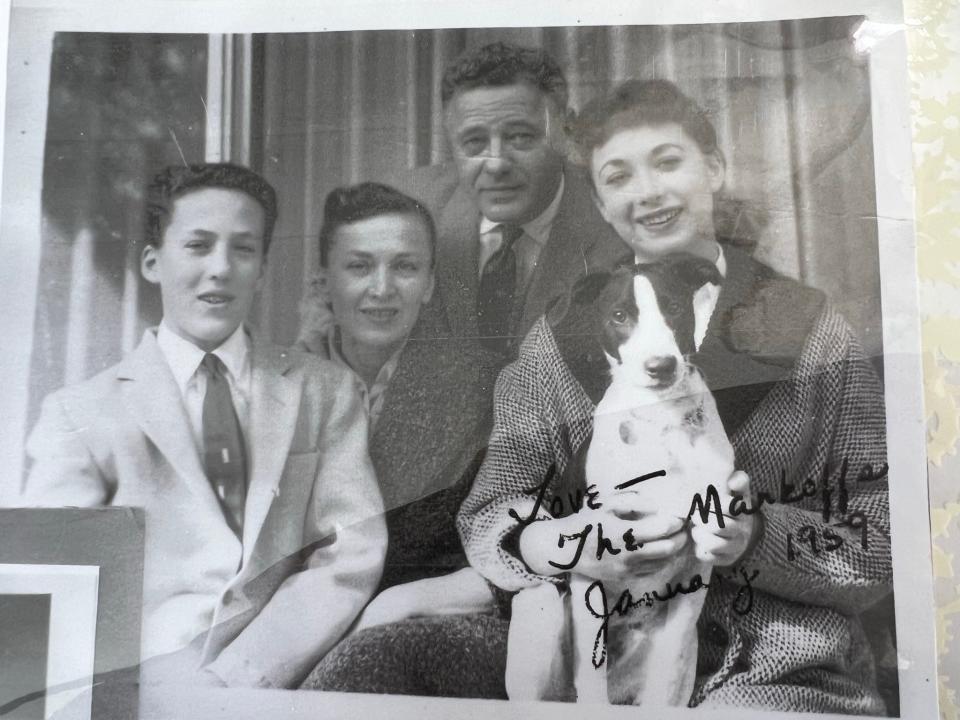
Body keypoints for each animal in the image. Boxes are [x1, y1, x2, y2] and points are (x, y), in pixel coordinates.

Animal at [506, 253, 732, 704]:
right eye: (619, 315)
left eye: (674, 307)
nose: (660, 366)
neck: (660, 421)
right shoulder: (590, 568)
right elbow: (592, 673)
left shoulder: (695, 572)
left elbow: (669, 671)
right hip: (539, 612)